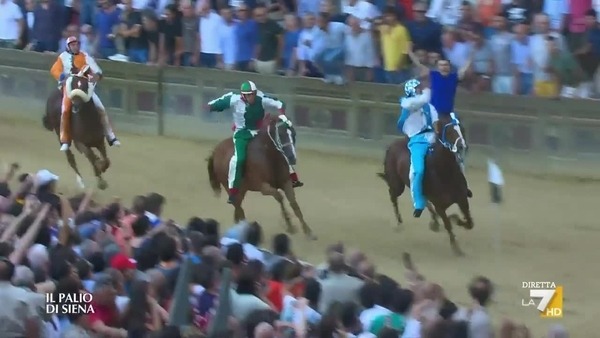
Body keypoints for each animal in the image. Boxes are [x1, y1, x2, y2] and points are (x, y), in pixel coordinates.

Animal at [380, 115, 474, 255]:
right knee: (393, 195)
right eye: (449, 131)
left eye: (462, 129)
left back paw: (433, 221)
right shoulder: (440, 206)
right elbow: (448, 223)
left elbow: (469, 223)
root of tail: (392, 144)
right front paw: (456, 247)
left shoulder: (462, 200)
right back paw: (399, 223)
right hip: (397, 185)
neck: (445, 173)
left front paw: (454, 219)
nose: (462, 146)